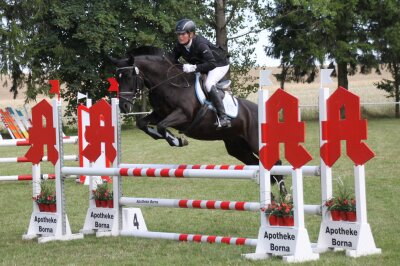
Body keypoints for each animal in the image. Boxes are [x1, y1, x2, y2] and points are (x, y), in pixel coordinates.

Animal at [108, 46, 284, 192]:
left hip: (254, 142)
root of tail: (258, 110)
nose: (124, 106)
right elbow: (143, 123)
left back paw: (283, 199)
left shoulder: (183, 115)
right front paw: (162, 137)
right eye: (117, 78)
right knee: (257, 165)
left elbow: (162, 126)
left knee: (276, 164)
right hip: (237, 147)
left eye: (129, 76)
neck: (169, 84)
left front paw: (177, 140)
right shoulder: (159, 114)